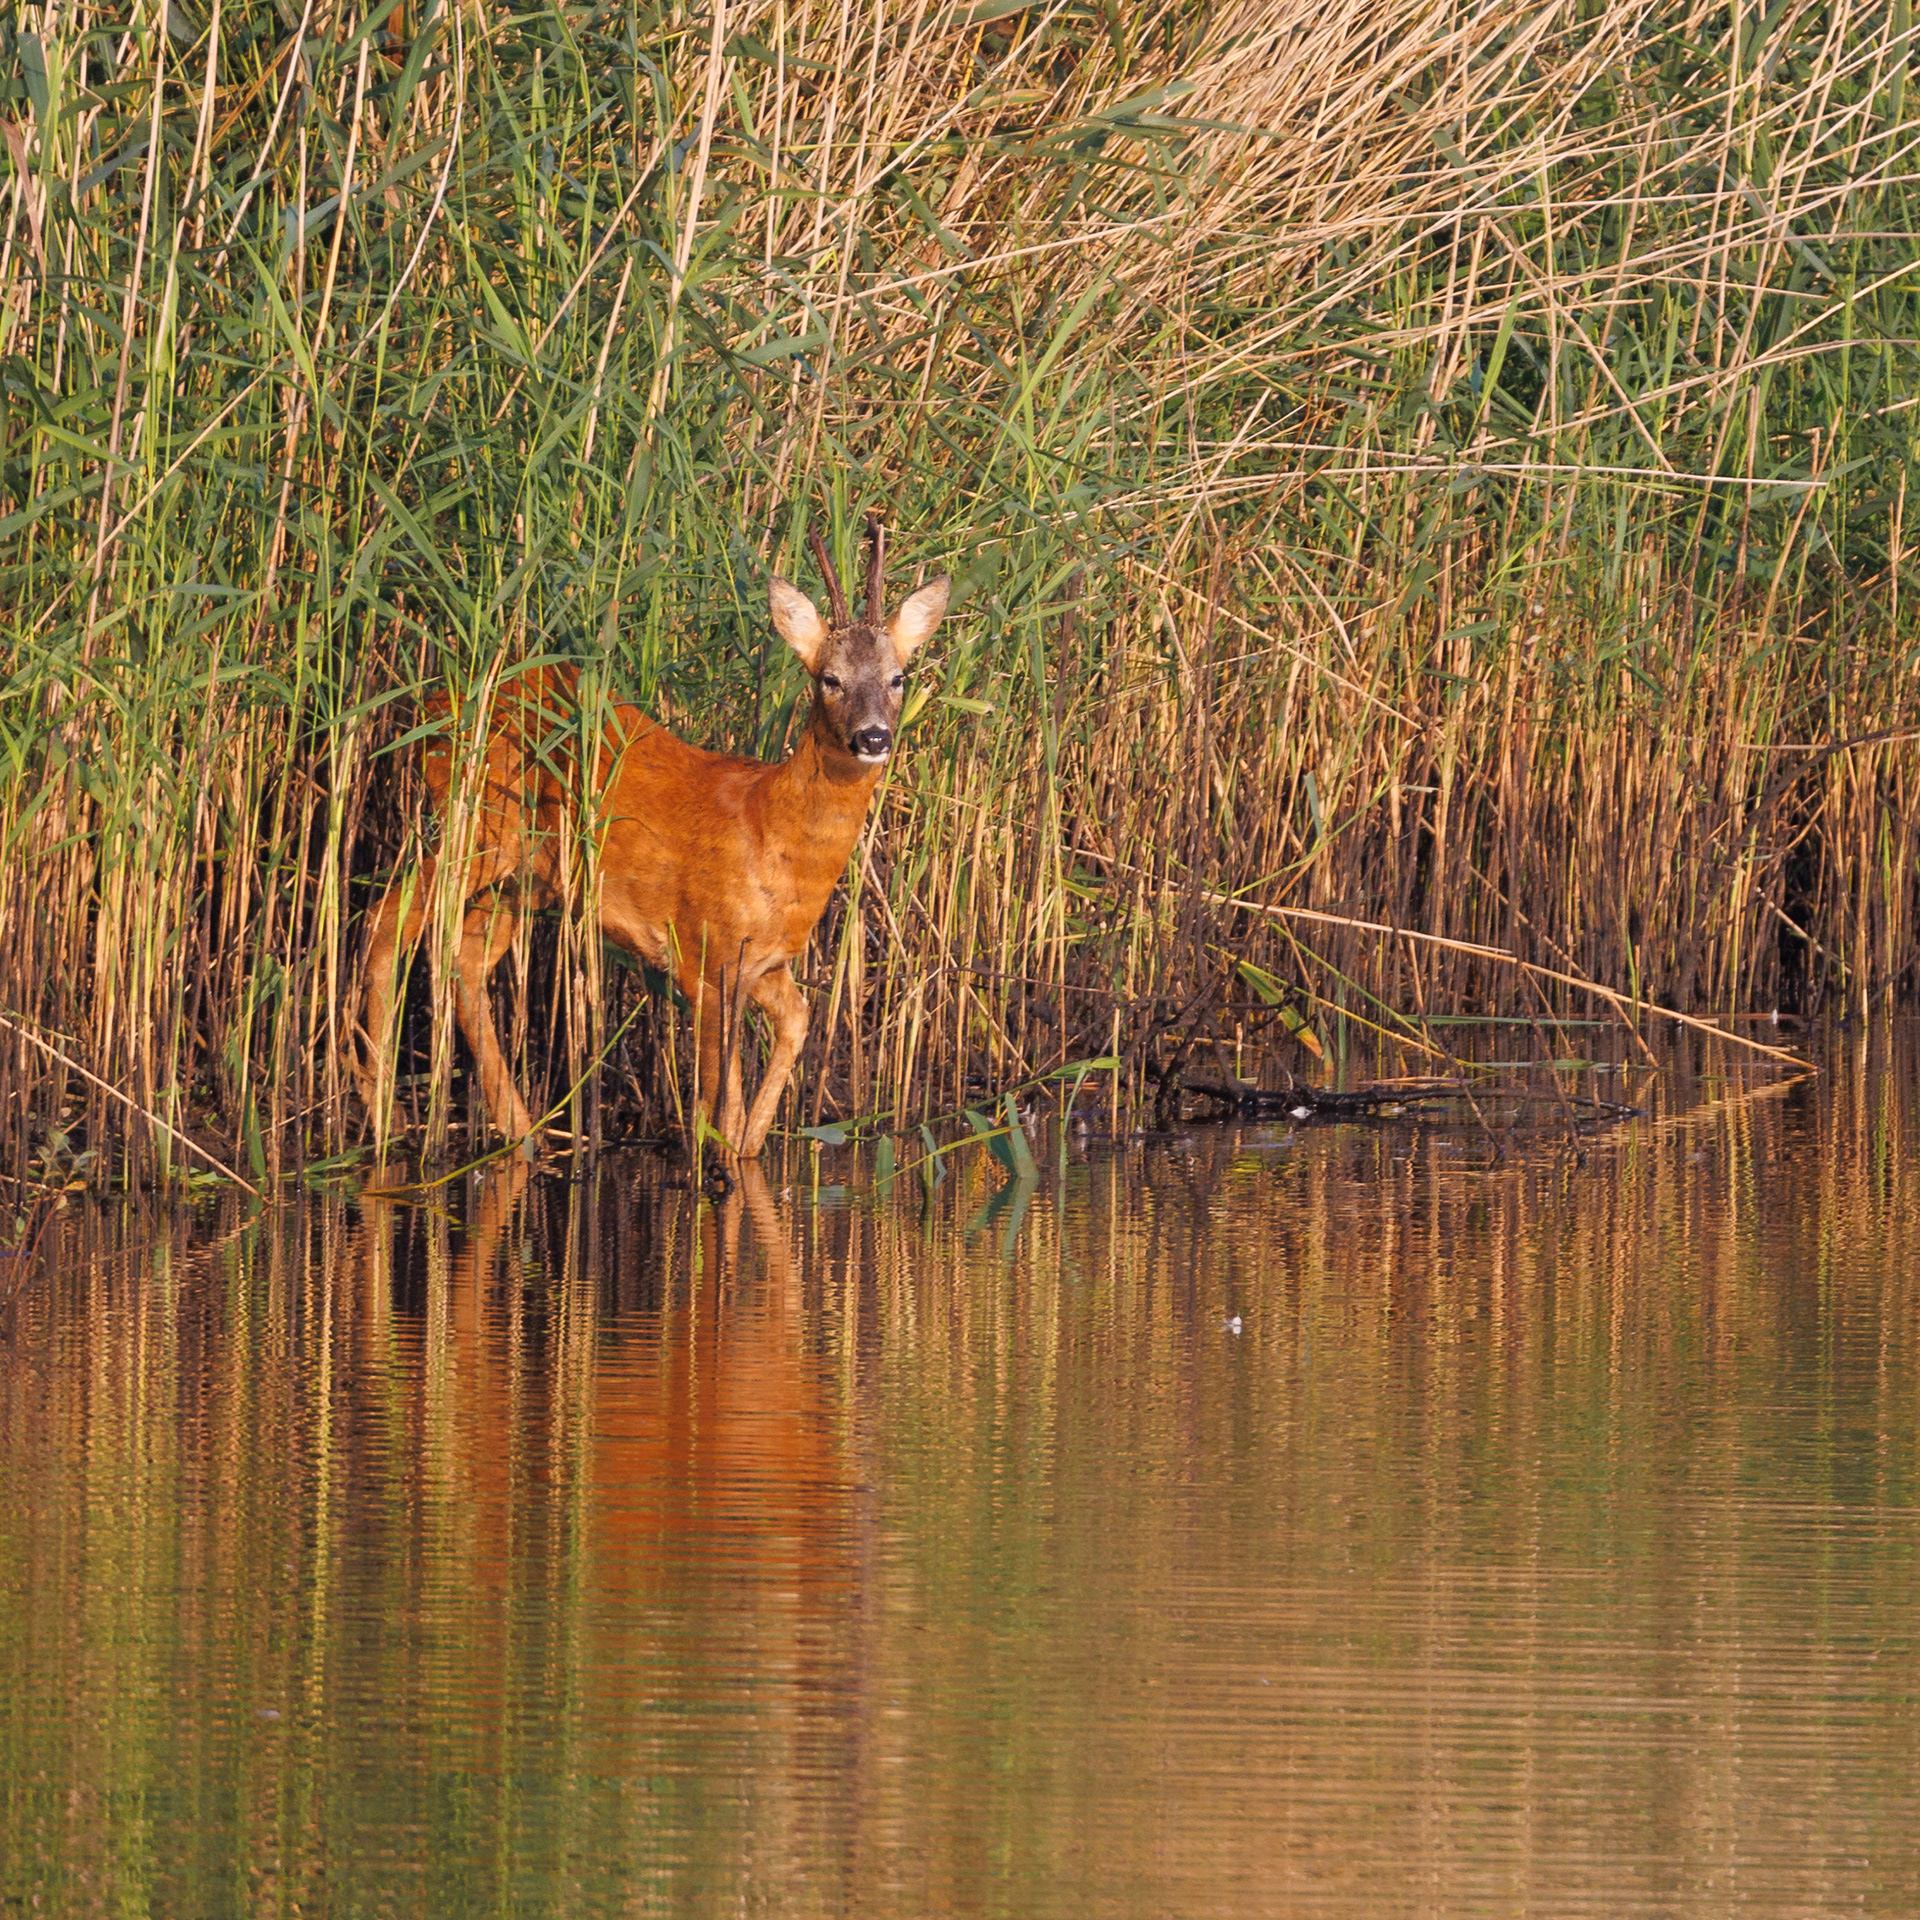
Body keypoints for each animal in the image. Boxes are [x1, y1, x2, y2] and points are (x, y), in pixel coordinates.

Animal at [354, 514, 949, 1159]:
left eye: (898, 678)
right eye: (829, 679)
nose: (873, 737)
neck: (774, 832)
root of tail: (432, 708)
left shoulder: (765, 965)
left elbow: (791, 1034)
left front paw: (752, 1148)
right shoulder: (706, 952)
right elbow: (720, 1107)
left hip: (525, 878)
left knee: (463, 959)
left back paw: (519, 1130)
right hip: (478, 827)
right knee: (388, 918)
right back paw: (380, 1107)